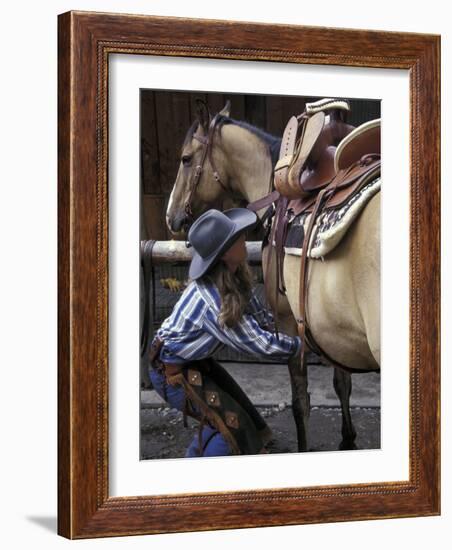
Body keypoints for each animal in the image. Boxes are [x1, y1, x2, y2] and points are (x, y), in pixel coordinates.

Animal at [164, 100, 380, 452]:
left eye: (186, 158)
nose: (171, 217)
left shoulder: (290, 320)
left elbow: (300, 402)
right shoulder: (334, 328)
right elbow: (341, 383)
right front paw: (348, 440)